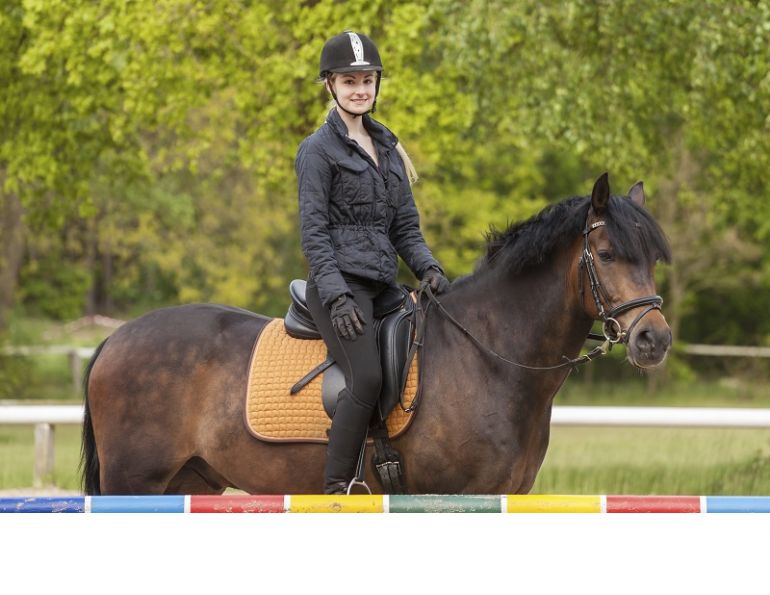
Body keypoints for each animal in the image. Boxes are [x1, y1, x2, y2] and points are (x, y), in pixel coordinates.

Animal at [80, 173, 672, 495]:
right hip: (136, 481)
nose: (655, 340)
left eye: (652, 258)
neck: (489, 356)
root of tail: (116, 339)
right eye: (608, 254)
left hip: (188, 480)